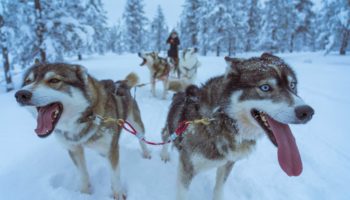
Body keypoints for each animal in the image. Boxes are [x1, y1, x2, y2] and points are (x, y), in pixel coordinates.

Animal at [14, 63, 151, 200]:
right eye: (28, 81)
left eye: (54, 80)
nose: (21, 94)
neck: (85, 117)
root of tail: (121, 83)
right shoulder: (74, 149)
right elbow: (82, 174)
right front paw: (84, 194)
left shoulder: (111, 150)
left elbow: (114, 175)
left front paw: (118, 193)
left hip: (137, 125)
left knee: (141, 139)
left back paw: (146, 153)